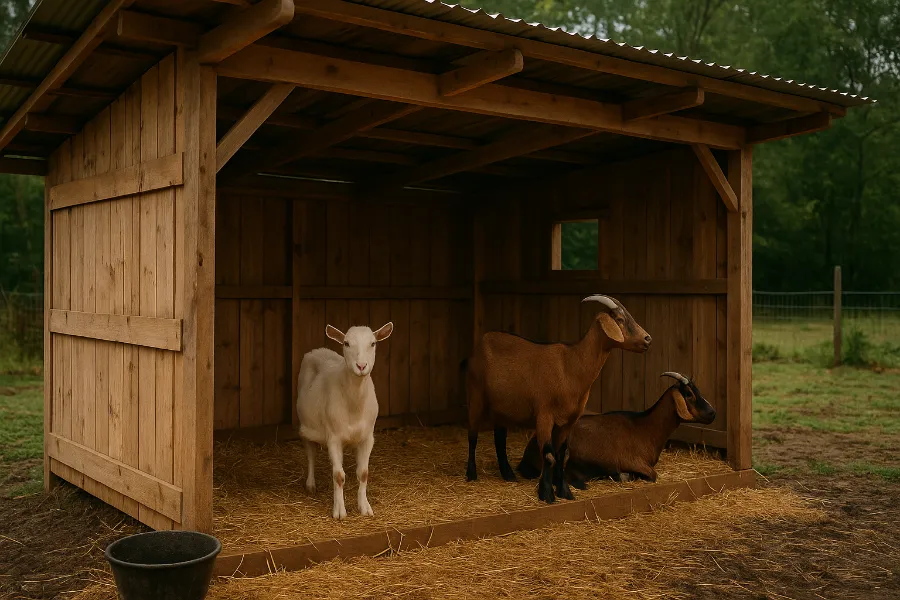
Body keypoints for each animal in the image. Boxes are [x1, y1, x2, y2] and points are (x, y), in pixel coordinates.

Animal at [296, 322, 393, 519]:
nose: (361, 366)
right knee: (311, 454)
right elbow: (339, 475)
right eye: (346, 343)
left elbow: (363, 473)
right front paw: (339, 511)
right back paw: (311, 484)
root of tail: (318, 350)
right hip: (305, 425)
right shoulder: (334, 437)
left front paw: (365, 507)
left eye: (373, 343)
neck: (354, 405)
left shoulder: (367, 437)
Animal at [465, 295, 651, 504]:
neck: (571, 365)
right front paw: (546, 493)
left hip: (501, 407)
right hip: (475, 394)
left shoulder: (569, 420)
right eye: (619, 319)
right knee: (472, 434)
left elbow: (562, 454)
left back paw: (508, 474)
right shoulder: (544, 415)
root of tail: (481, 342)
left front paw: (564, 491)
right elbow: (549, 455)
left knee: (499, 437)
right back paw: (471, 474)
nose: (647, 339)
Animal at [516, 372, 716, 487]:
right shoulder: (634, 461)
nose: (713, 413)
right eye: (688, 394)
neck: (646, 427)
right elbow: (653, 475)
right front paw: (624, 476)